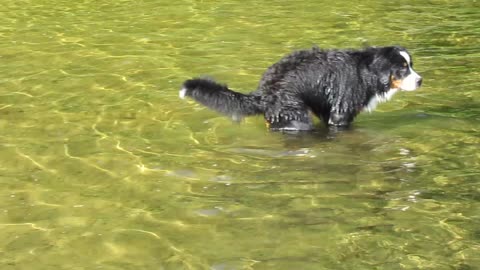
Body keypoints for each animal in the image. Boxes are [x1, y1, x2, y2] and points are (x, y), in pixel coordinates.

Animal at [178, 46, 422, 130]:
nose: (420, 80)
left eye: (411, 65)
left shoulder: (326, 110)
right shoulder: (341, 113)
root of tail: (263, 92)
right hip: (295, 116)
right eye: (402, 68)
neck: (366, 72)